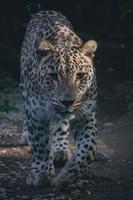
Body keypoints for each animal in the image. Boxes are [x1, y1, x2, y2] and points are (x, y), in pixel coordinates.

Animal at [20, 10, 97, 188]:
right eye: (53, 76)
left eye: (80, 75)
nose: (67, 102)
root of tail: (45, 11)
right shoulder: (36, 114)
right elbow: (40, 145)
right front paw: (41, 173)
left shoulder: (86, 115)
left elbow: (88, 149)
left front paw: (69, 174)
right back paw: (26, 135)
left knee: (62, 124)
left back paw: (60, 149)